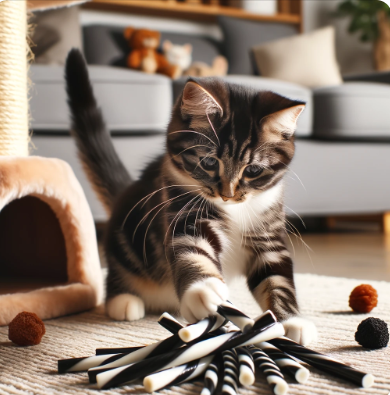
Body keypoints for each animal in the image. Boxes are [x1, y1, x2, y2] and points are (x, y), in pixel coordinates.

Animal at [66, 49, 316, 346]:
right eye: (208, 162)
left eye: (253, 170)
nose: (227, 195)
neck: (234, 211)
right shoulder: (180, 209)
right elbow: (192, 250)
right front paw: (203, 290)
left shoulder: (268, 231)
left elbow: (278, 277)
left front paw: (291, 321)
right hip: (125, 238)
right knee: (118, 266)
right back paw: (124, 300)